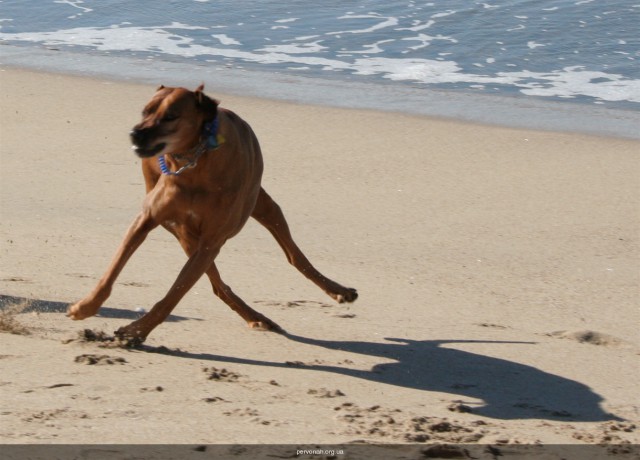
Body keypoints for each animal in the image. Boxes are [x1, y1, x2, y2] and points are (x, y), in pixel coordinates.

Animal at [67, 84, 358, 342]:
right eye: (145, 111)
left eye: (171, 116)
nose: (134, 133)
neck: (195, 163)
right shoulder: (148, 219)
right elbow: (113, 269)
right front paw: (85, 306)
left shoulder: (211, 241)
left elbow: (173, 295)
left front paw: (136, 332)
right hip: (183, 231)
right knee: (218, 283)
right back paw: (255, 316)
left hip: (262, 206)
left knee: (293, 255)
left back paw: (337, 291)